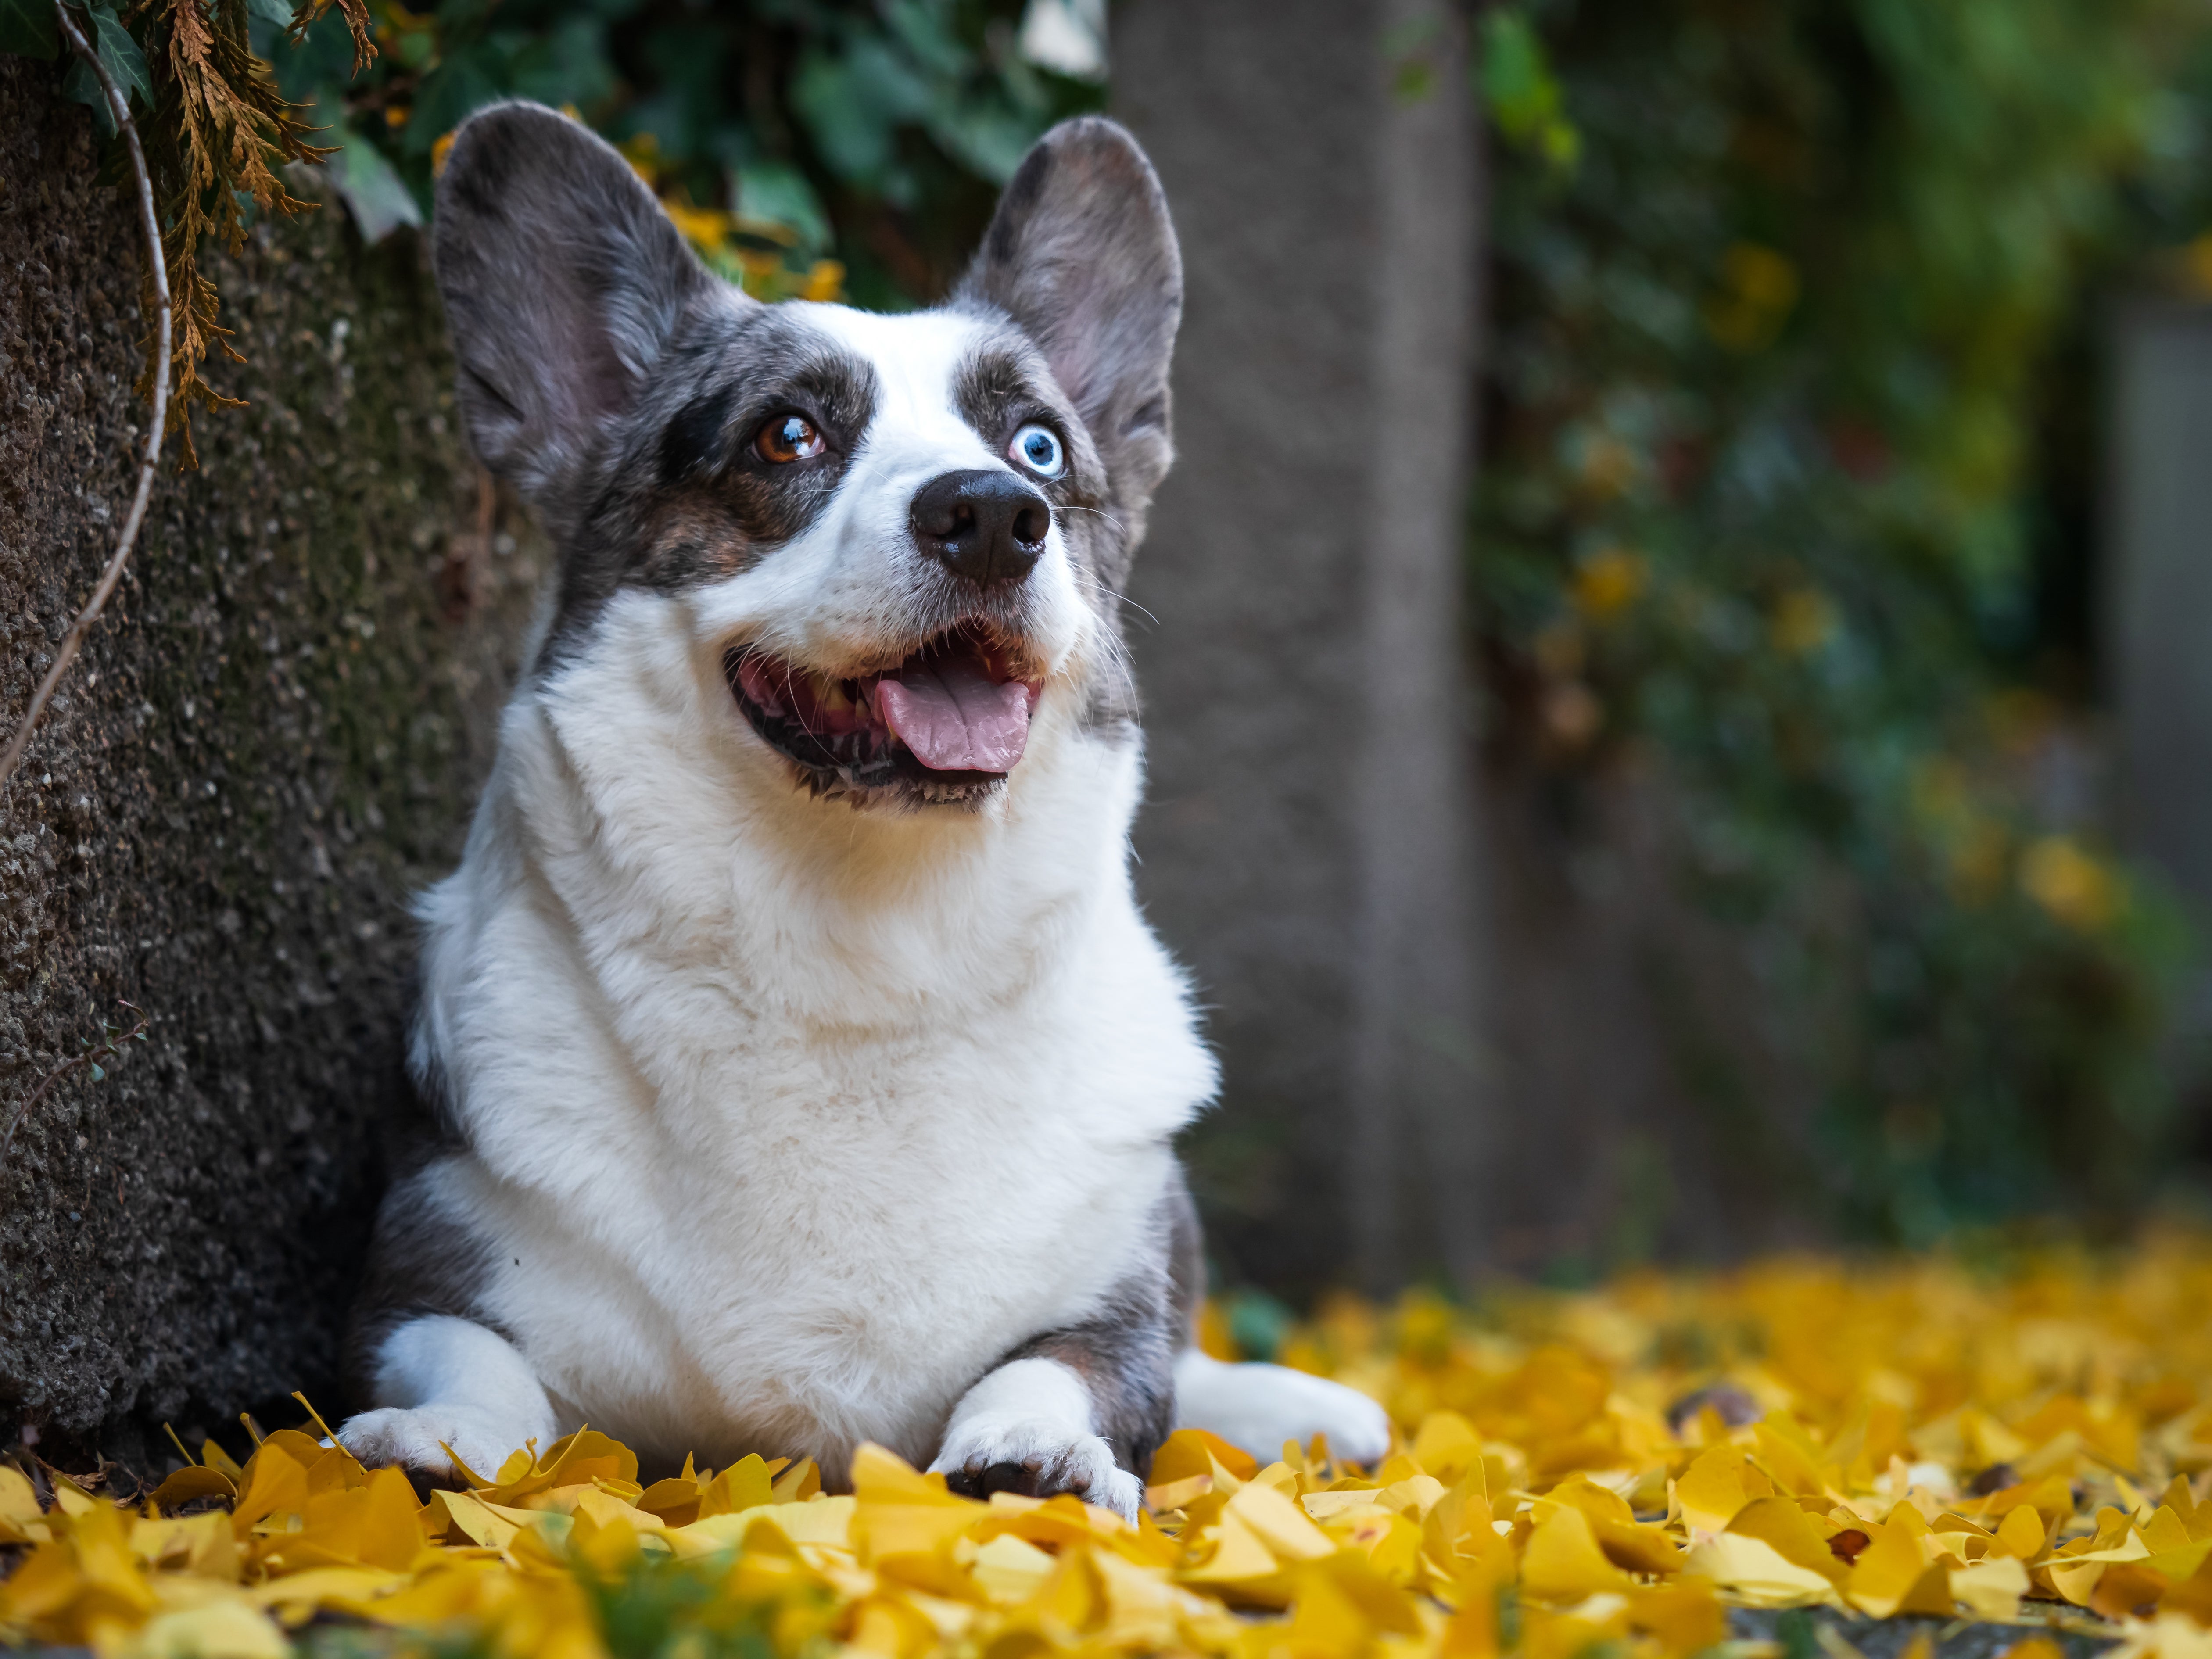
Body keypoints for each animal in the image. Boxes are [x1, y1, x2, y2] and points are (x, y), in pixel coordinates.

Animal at [332, 100, 1380, 1522]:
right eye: (788, 436)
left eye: (1039, 446)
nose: (993, 514)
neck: (864, 944)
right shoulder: (425, 1271)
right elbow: (466, 1359)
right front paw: (435, 1443)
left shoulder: (1115, 1301)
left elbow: (1071, 1364)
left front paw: (1036, 1454)